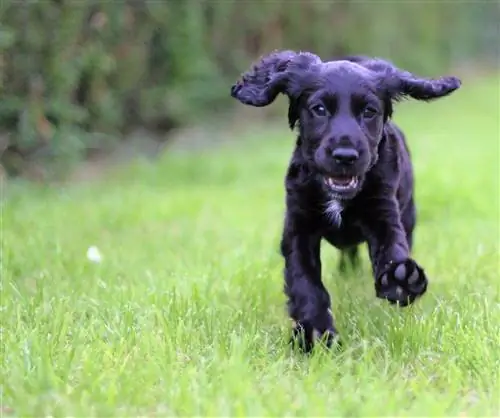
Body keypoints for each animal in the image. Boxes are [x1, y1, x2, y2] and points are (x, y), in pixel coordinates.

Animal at [230, 49, 460, 352]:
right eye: (319, 109)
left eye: (369, 111)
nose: (345, 156)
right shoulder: (298, 227)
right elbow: (305, 282)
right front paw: (314, 335)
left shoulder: (383, 211)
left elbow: (391, 247)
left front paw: (400, 279)